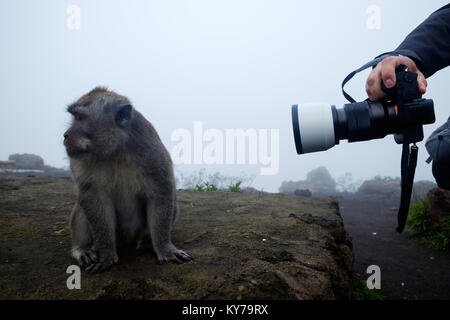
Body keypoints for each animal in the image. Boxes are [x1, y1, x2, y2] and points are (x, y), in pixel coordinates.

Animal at [63, 87, 190, 272]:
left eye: (79, 117)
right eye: (74, 117)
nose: (65, 135)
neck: (115, 153)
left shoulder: (153, 155)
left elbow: (161, 193)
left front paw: (165, 248)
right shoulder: (80, 162)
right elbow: (93, 197)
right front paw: (106, 254)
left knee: (173, 203)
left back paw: (146, 242)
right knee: (81, 204)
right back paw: (83, 249)